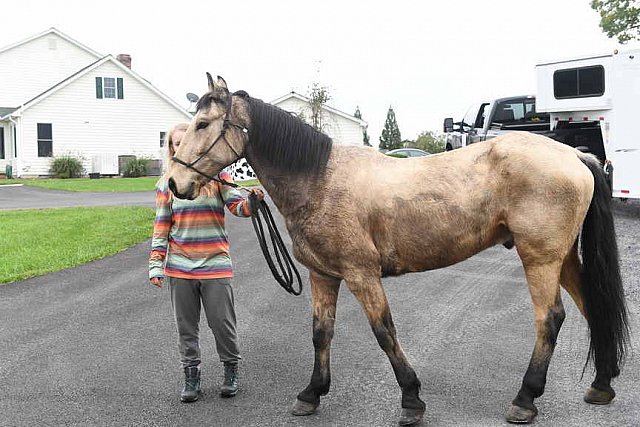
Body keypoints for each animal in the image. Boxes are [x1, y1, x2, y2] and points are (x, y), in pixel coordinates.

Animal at [166, 75, 632, 426]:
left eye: (203, 123)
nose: (174, 183)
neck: (319, 180)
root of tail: (574, 155)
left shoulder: (361, 274)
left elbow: (384, 331)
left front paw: (411, 399)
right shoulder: (323, 275)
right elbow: (321, 333)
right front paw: (311, 393)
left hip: (540, 258)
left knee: (549, 320)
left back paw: (525, 399)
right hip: (562, 258)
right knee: (591, 305)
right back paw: (601, 385)